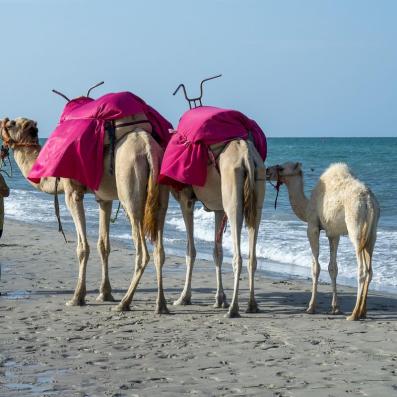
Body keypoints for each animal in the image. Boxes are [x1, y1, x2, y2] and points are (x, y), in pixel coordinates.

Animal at [172, 138, 264, 316]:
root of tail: (246, 155)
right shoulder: (218, 210)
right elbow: (217, 252)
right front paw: (220, 299)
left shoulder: (186, 200)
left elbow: (190, 251)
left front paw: (183, 298)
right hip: (258, 190)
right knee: (252, 253)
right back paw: (252, 305)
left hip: (232, 192)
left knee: (237, 256)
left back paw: (233, 309)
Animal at [264, 161, 378, 318]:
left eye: (281, 168)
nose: (267, 170)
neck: (306, 206)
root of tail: (369, 202)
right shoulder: (333, 233)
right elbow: (332, 267)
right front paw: (335, 308)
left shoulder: (312, 226)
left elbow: (315, 267)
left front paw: (311, 307)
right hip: (372, 233)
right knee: (370, 270)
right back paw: (363, 312)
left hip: (356, 227)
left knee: (362, 270)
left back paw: (354, 314)